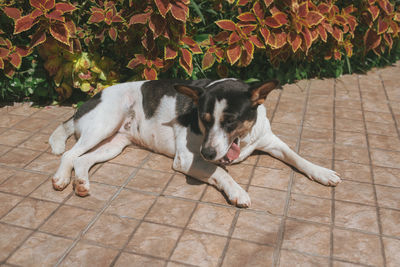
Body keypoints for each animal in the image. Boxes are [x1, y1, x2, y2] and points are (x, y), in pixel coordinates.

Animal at [48, 78, 340, 208]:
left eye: (231, 121)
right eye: (204, 119)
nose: (208, 152)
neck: (242, 139)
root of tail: (88, 100)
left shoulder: (269, 140)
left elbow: (295, 156)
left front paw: (321, 172)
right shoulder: (188, 159)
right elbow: (220, 171)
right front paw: (237, 191)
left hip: (114, 143)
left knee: (82, 159)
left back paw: (81, 183)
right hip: (103, 125)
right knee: (69, 154)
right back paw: (61, 178)